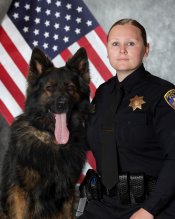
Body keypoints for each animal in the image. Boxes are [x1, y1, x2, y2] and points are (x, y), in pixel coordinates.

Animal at [0, 47, 91, 218]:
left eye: (70, 87)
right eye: (50, 88)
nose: (62, 104)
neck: (53, 141)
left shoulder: (67, 193)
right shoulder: (20, 193)